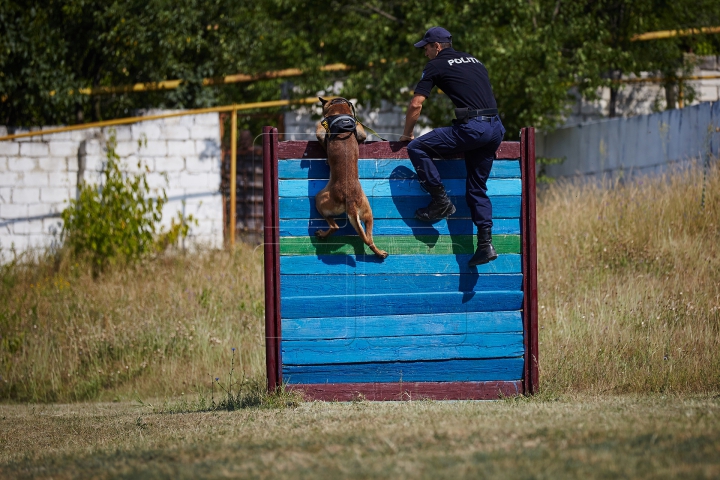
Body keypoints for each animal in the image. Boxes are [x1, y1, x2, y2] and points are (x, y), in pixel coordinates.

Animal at [316, 97, 388, 258]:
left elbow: (321, 139)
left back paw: (322, 234)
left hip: (320, 200)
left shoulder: (320, 131)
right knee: (368, 239)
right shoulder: (361, 131)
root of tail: (350, 202)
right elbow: (362, 136)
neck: (338, 106)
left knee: (335, 226)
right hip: (368, 213)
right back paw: (380, 253)